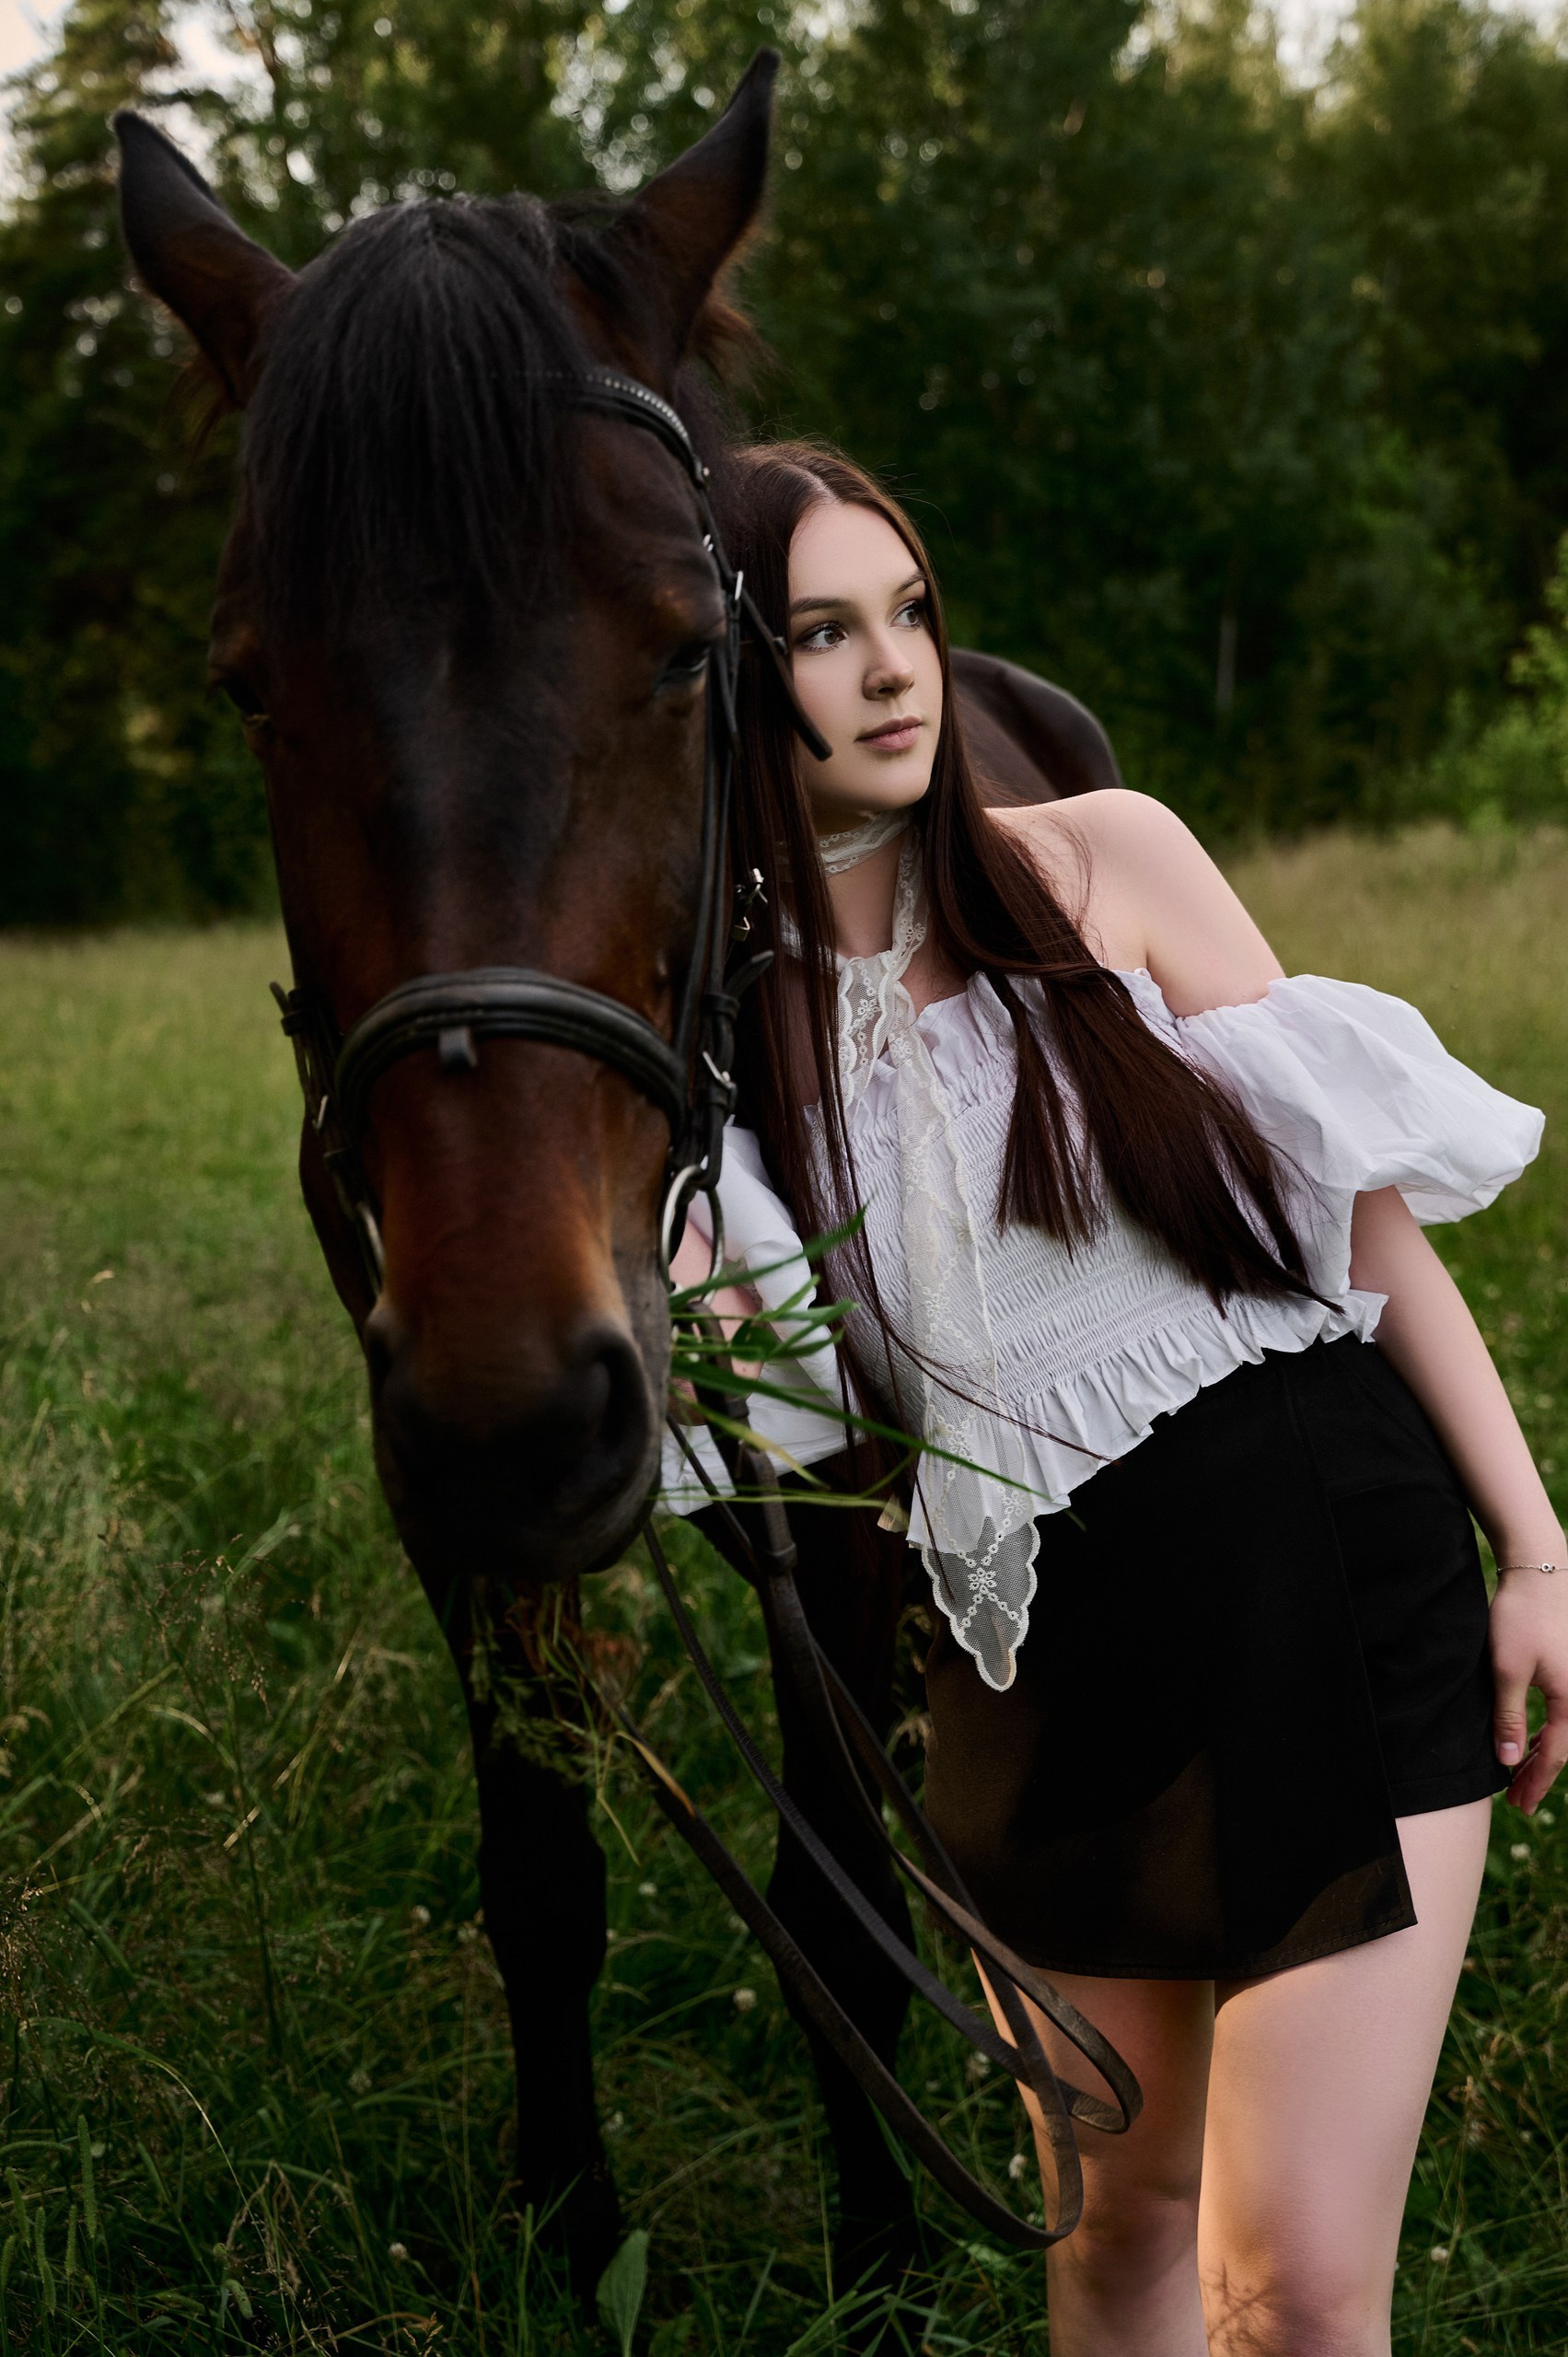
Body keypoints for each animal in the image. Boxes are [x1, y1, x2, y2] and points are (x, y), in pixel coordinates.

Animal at [113, 54, 1121, 2300]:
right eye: (248, 682)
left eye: (683, 653)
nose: (522, 1394)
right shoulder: (451, 1477)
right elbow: (540, 1868)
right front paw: (572, 2239)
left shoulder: (837, 1464)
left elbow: (835, 1887)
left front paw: (881, 2258)